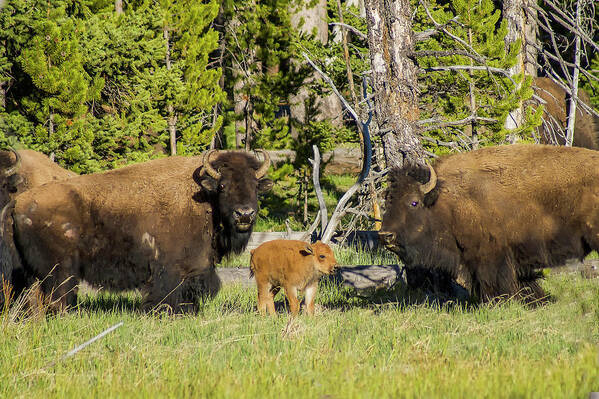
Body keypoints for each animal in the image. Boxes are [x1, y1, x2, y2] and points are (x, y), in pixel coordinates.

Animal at [0, 150, 272, 312]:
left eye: (255, 185)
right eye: (223, 186)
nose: (244, 214)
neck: (203, 197)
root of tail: (19, 202)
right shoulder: (172, 270)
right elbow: (166, 294)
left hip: (28, 271)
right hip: (59, 271)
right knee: (56, 296)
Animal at [380, 145, 599, 304]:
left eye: (413, 202)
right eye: (387, 200)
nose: (385, 236)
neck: (446, 199)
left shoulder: (489, 256)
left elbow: (491, 282)